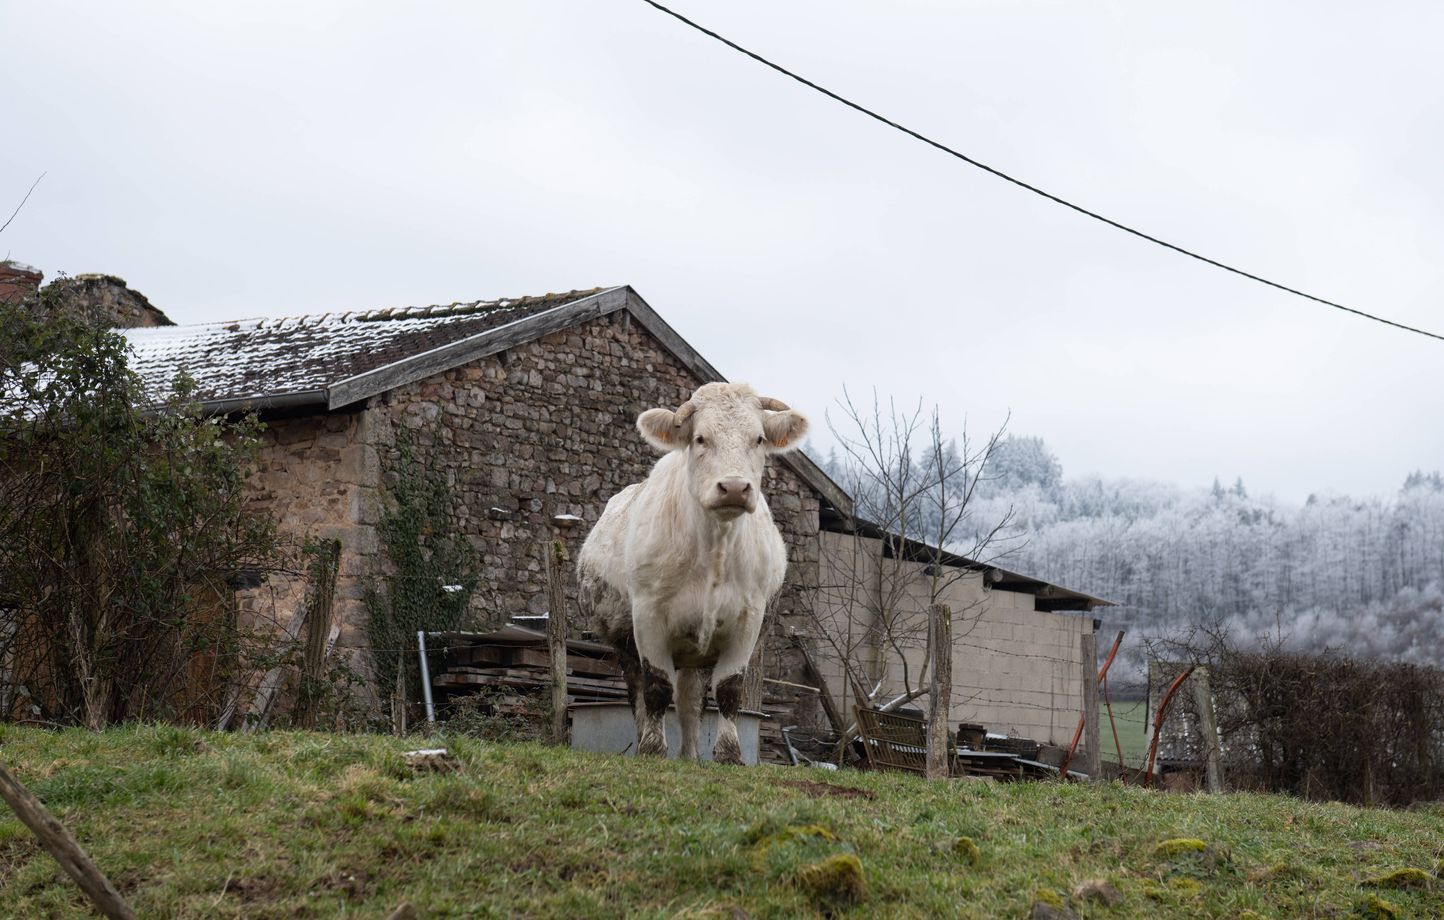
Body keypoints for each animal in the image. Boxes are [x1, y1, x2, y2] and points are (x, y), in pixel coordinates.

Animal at [577, 382, 808, 764]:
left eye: (759, 438)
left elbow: (729, 690)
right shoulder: (648, 618)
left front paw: (729, 755)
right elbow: (657, 688)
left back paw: (689, 755)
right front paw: (652, 750)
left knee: (689, 703)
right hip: (626, 645)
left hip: (696, 655)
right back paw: (644, 740)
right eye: (700, 438)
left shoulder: (747, 621)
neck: (715, 548)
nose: (734, 487)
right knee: (640, 696)